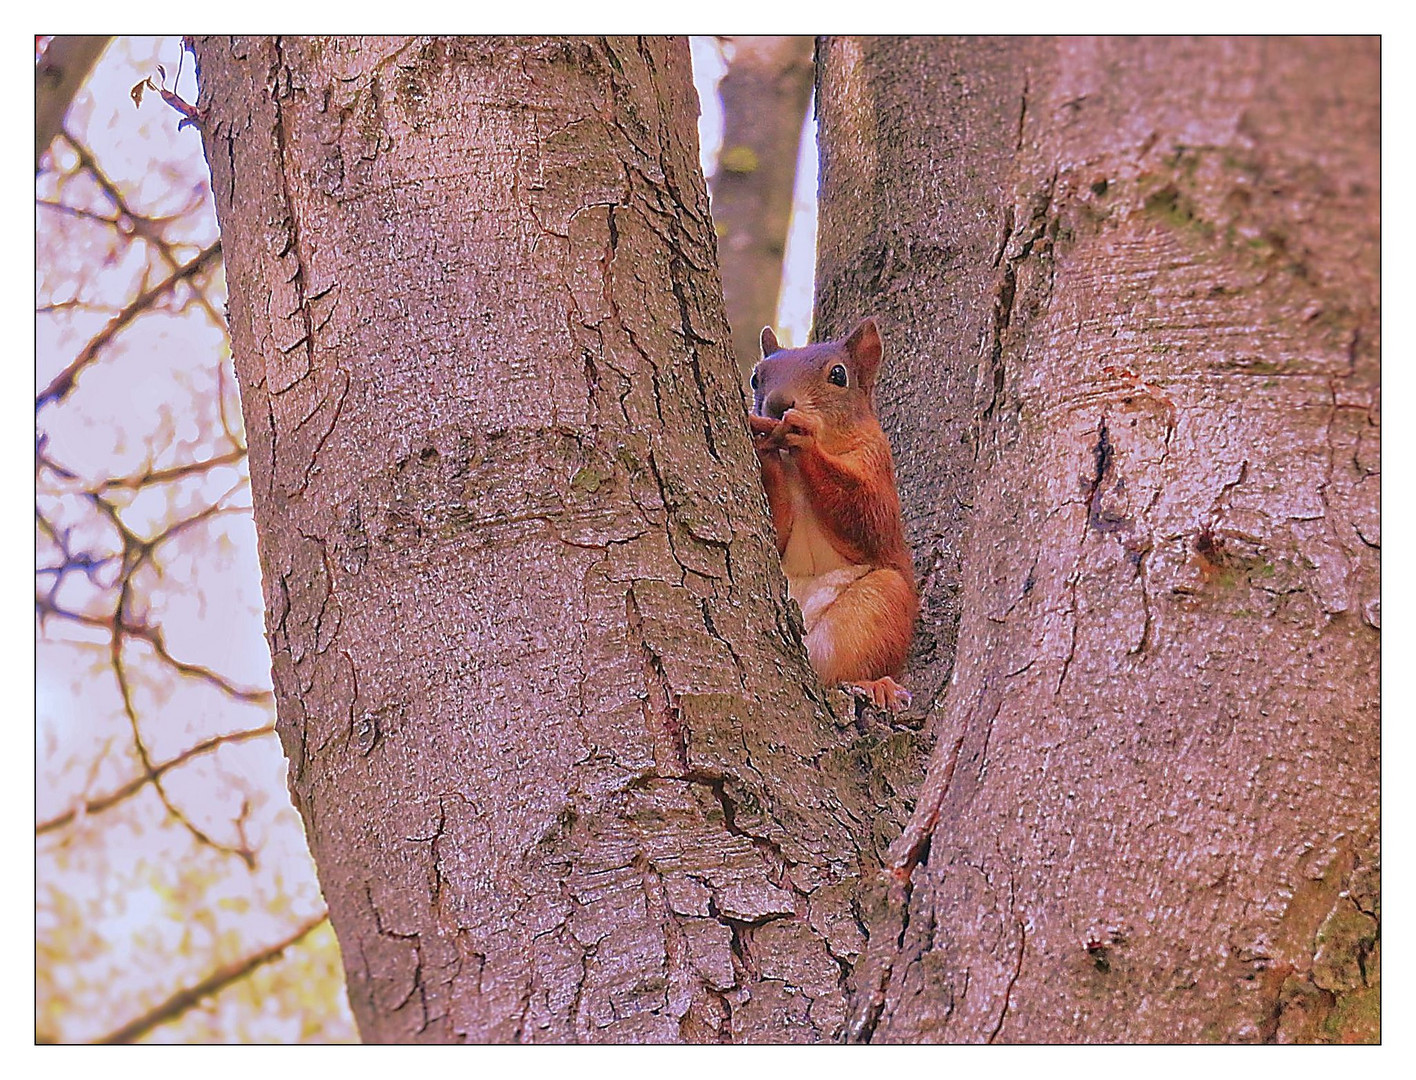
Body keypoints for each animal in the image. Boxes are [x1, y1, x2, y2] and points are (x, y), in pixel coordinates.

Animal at [753, 317, 917, 713]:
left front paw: (804, 435)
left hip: (877, 607)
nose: (778, 404)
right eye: (755, 378)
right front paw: (765, 446)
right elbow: (777, 533)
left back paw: (876, 686)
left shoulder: (878, 465)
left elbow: (866, 516)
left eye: (838, 375)